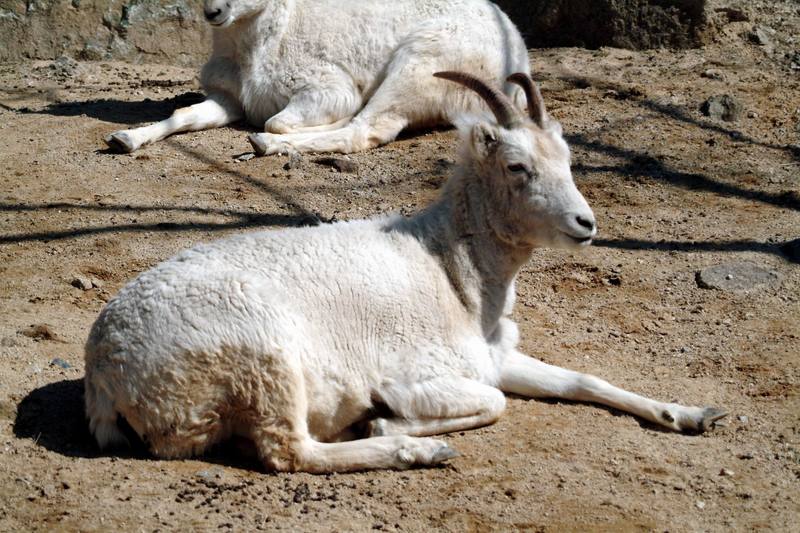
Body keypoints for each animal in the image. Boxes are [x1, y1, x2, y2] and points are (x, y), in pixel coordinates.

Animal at [86, 72, 724, 472]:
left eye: (566, 160)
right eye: (516, 166)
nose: (584, 223)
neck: (448, 270)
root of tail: (104, 373)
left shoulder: (494, 358)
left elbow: (582, 381)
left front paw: (693, 414)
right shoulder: (419, 372)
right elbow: (494, 403)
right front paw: (385, 423)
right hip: (263, 362)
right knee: (290, 452)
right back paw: (416, 453)